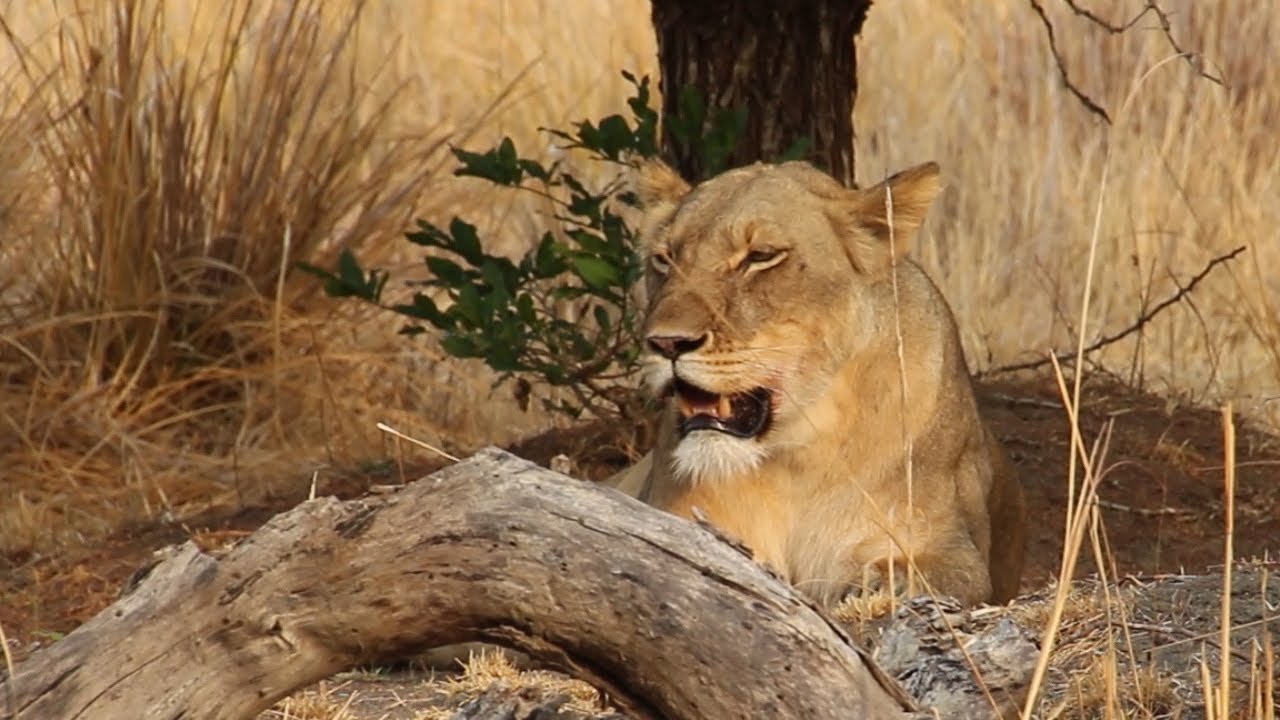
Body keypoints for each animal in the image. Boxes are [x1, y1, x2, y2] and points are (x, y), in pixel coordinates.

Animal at [608, 158, 1026, 607]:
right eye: (664, 259)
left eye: (760, 256)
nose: (666, 343)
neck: (795, 453)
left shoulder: (953, 548)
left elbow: (914, 572)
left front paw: (870, 588)